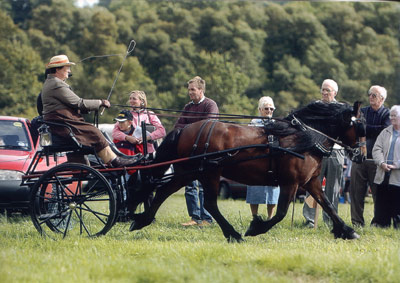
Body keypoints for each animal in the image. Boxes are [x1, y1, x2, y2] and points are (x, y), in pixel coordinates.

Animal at [129, 101, 366, 243]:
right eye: (361, 126)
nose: (361, 156)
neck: (303, 139)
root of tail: (185, 129)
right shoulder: (290, 182)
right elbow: (280, 213)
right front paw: (256, 228)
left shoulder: (311, 182)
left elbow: (328, 205)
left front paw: (347, 231)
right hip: (208, 174)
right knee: (209, 204)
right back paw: (233, 234)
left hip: (189, 173)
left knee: (163, 192)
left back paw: (142, 220)